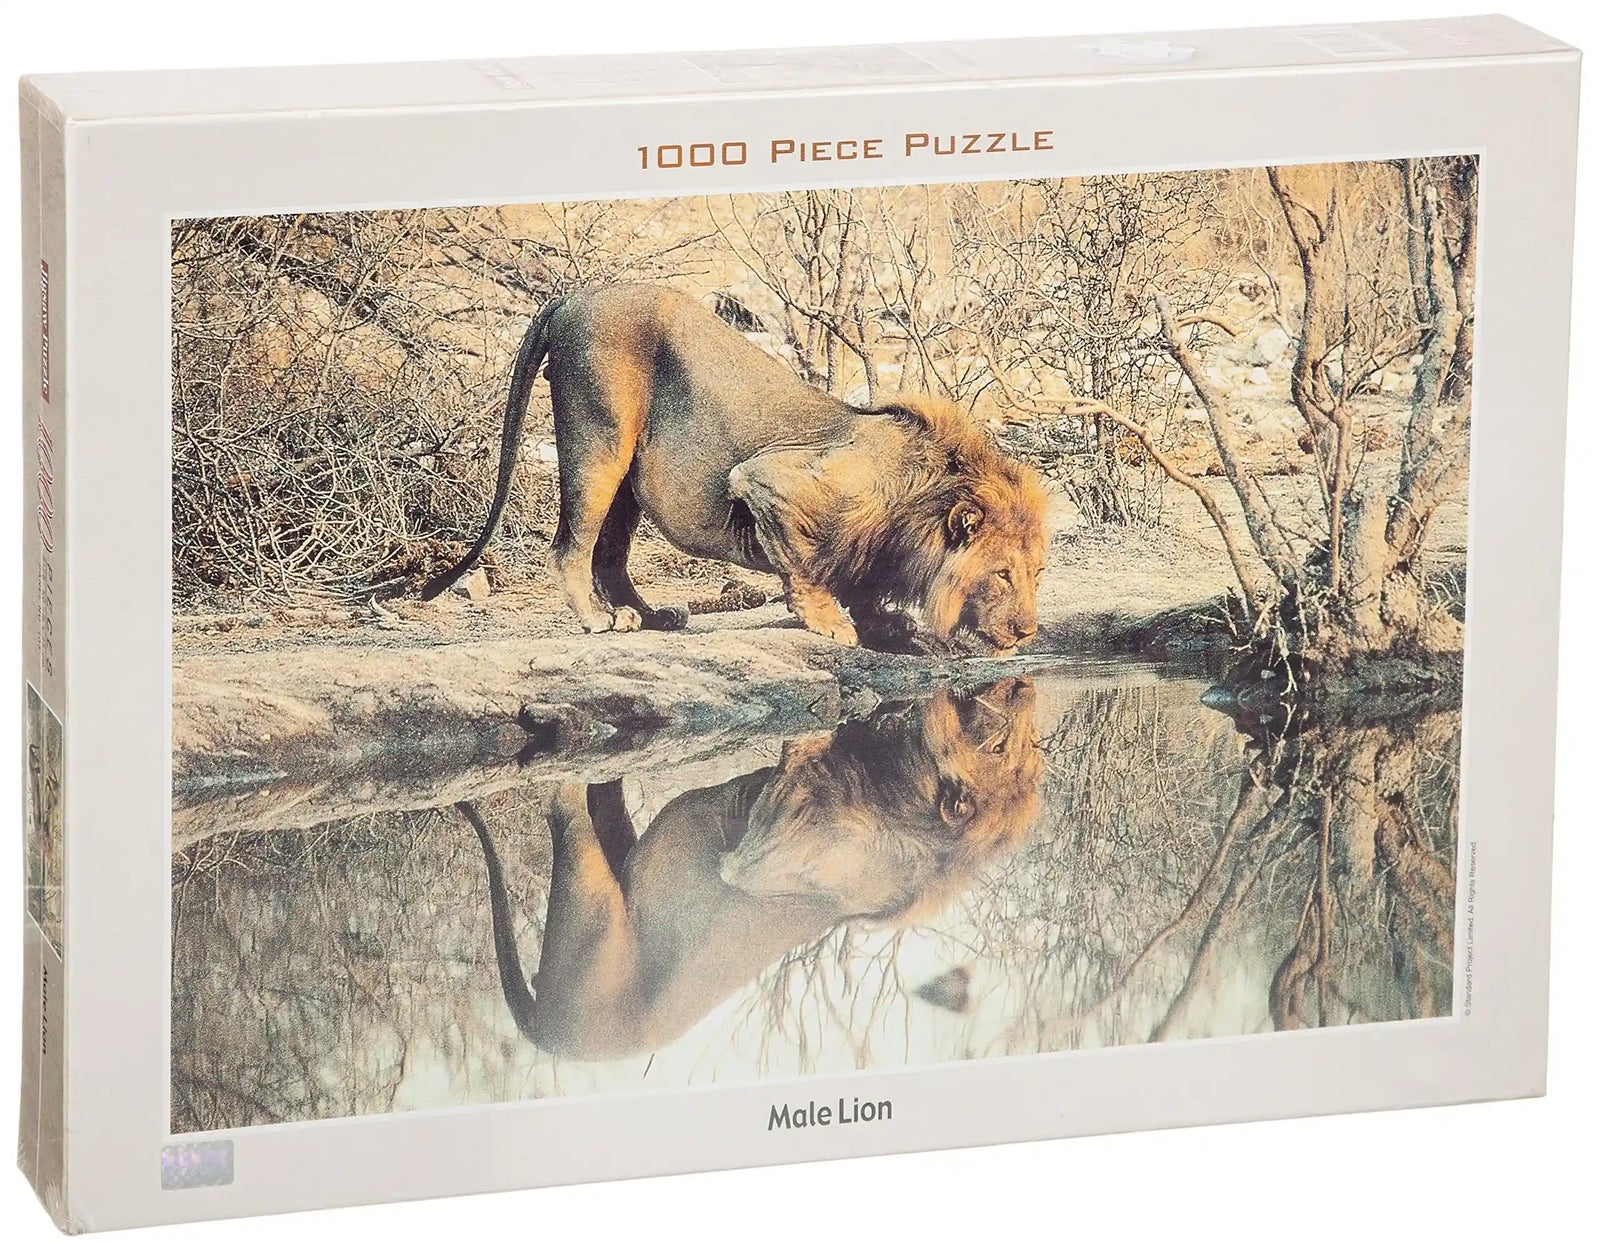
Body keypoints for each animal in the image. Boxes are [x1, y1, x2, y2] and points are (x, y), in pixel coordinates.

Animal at [421, 284, 1048, 655]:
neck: (919, 498)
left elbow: (858, 583)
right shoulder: (770, 479)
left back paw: (649, 615)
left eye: (1037, 573)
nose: (1028, 631)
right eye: (1001, 574)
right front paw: (831, 622)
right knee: (570, 546)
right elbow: (806, 564)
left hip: (628, 474)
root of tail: (576, 293)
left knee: (609, 554)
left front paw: (887, 623)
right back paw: (598, 619)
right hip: (599, 437)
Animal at [460, 676, 1043, 1061]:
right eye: (1007, 746)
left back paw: (555, 726)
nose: (1021, 686)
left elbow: (789, 781)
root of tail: (547, 1037)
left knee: (568, 803)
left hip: (591, 908)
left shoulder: (773, 839)